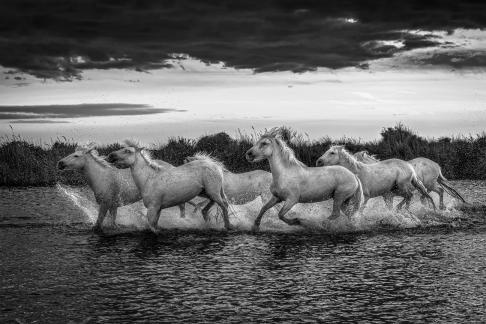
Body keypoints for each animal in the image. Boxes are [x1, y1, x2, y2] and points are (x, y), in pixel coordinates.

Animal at [57, 144, 192, 233]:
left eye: (76, 155)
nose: (60, 163)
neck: (101, 177)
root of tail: (173, 166)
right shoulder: (113, 205)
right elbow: (113, 222)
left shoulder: (105, 204)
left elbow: (98, 223)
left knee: (182, 206)